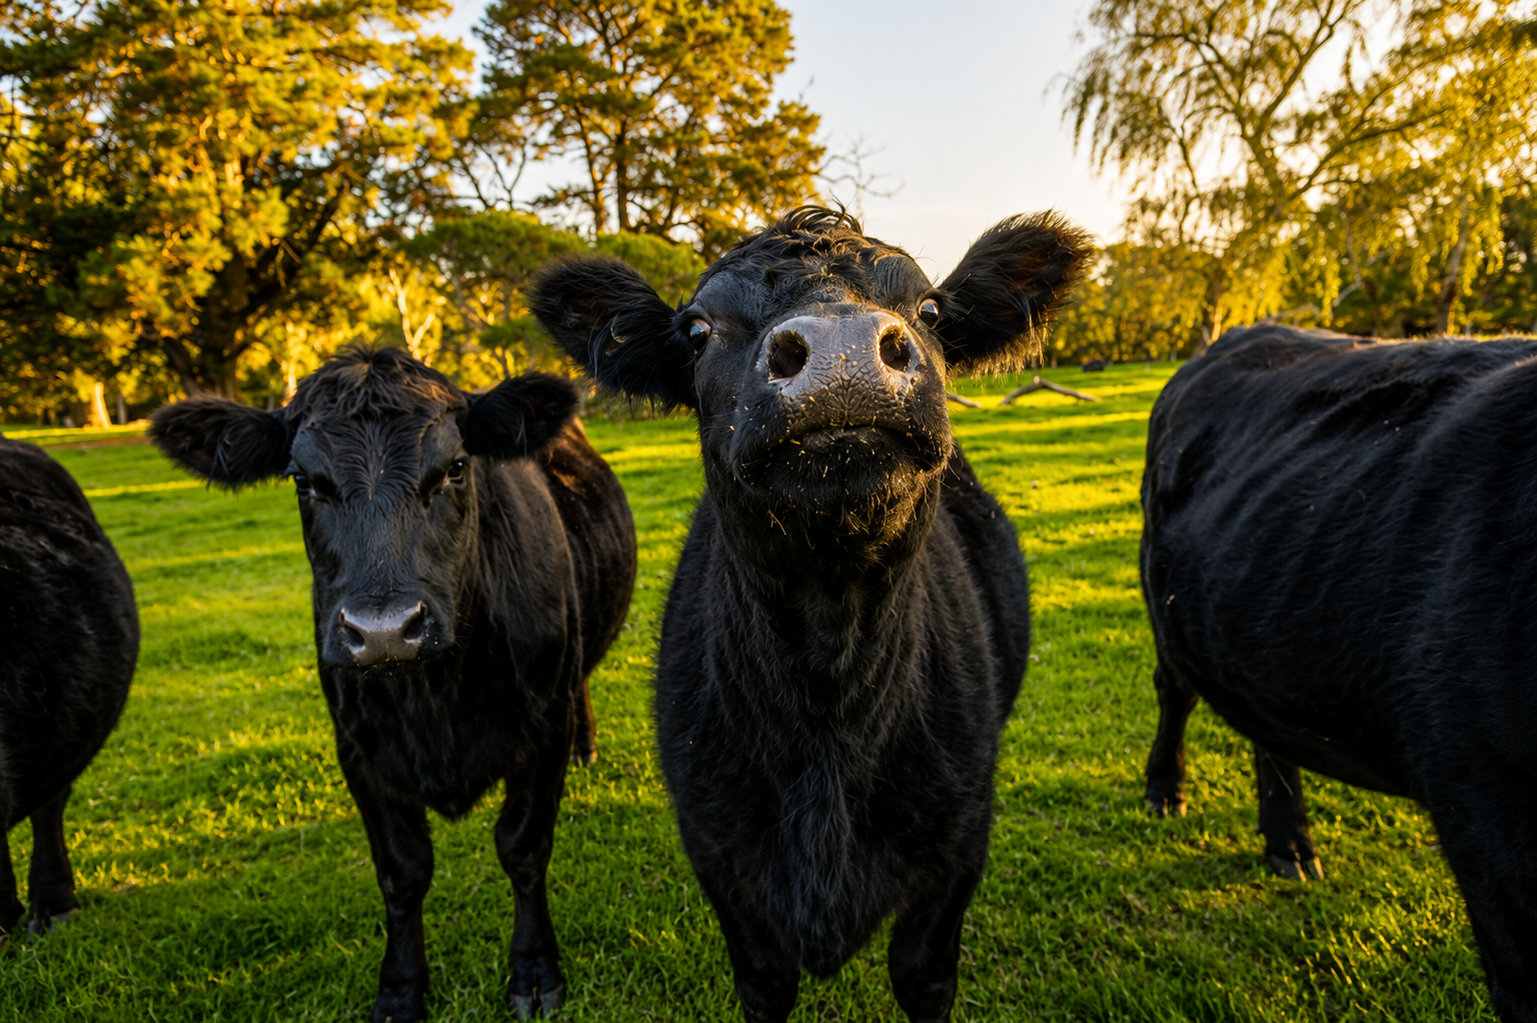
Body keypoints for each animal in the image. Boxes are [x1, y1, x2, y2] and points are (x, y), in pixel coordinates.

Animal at [150, 349, 636, 1022]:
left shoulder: (545, 725)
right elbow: (402, 873)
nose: (383, 631)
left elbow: (523, 847)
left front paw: (535, 970)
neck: (435, 697)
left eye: (455, 467)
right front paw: (402, 990)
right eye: (303, 481)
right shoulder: (358, 747)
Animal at [531, 206, 1091, 1023]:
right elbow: (765, 979)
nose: (841, 353)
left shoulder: (961, 837)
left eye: (929, 310)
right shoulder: (718, 851)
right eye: (697, 329)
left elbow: (923, 973)